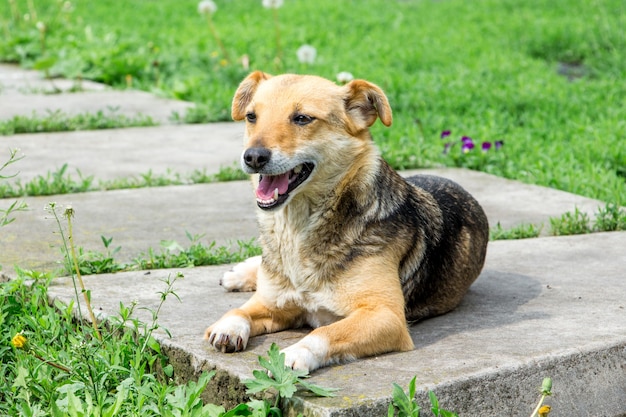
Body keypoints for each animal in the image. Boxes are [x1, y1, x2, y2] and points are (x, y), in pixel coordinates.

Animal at [205, 70, 488, 370]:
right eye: (251, 116)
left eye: (302, 118)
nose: (253, 157)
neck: (297, 230)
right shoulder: (274, 305)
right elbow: (239, 311)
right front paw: (229, 326)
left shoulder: (386, 316)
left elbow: (324, 332)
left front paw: (293, 354)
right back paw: (240, 273)